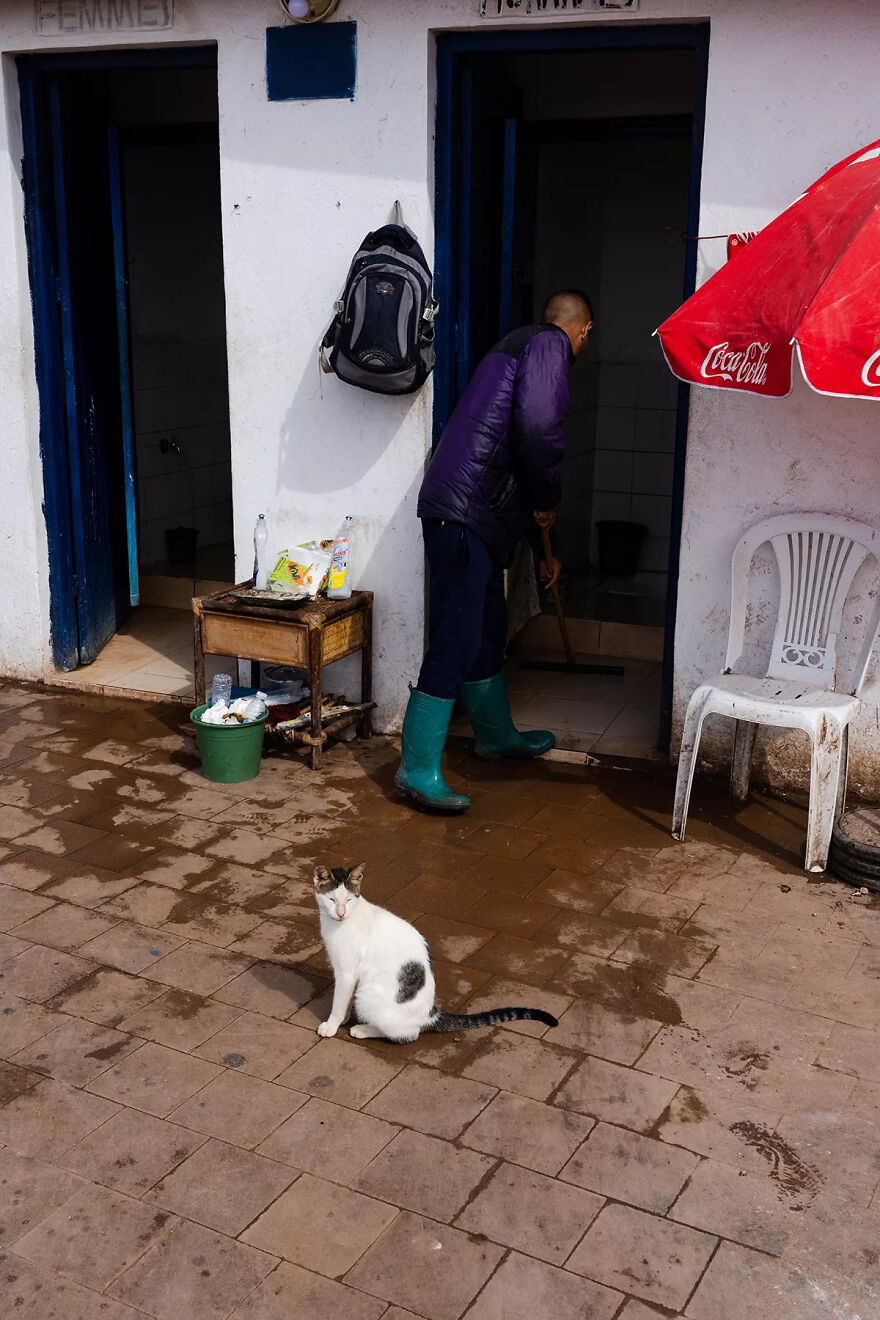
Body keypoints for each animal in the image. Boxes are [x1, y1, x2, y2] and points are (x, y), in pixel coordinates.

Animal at [311, 860, 556, 1045]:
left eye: (348, 899)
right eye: (332, 899)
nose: (341, 913)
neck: (338, 923)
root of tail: (430, 1012)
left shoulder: (346, 972)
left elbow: (340, 1000)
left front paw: (332, 1024)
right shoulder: (346, 972)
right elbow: (344, 998)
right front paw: (343, 1019)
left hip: (368, 995)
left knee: (408, 1034)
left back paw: (364, 1029)